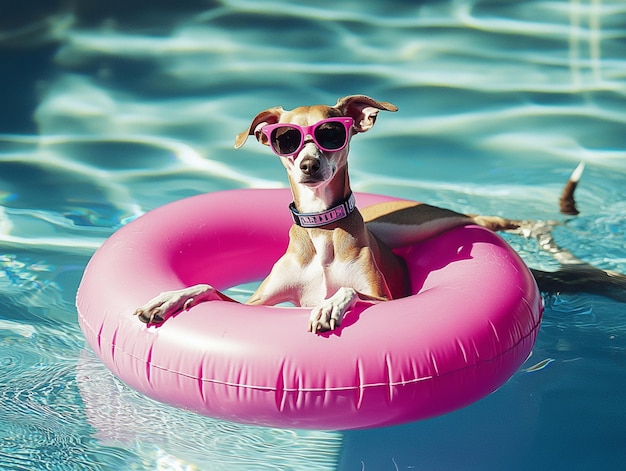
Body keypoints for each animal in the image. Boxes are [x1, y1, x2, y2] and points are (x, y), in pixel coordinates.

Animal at [133, 95, 624, 332]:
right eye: (285, 139)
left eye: (332, 133)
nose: (309, 165)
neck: (322, 230)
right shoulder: (255, 304)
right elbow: (209, 287)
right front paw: (168, 297)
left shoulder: (387, 300)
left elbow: (352, 292)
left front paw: (332, 305)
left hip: (427, 221)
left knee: (492, 221)